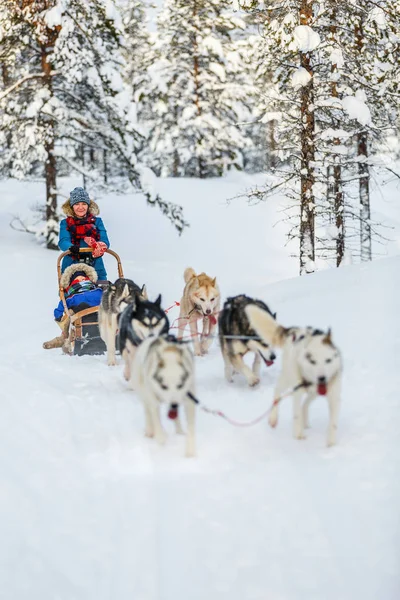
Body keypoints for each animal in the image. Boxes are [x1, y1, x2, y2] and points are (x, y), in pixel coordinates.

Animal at [245, 304, 342, 446]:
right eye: (312, 361)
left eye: (328, 360)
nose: (322, 378)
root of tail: (295, 330)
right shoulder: (298, 390)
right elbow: (296, 413)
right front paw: (298, 434)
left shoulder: (333, 396)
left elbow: (333, 421)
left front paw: (331, 443)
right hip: (288, 378)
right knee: (277, 392)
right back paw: (273, 417)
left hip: (311, 391)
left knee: (305, 404)